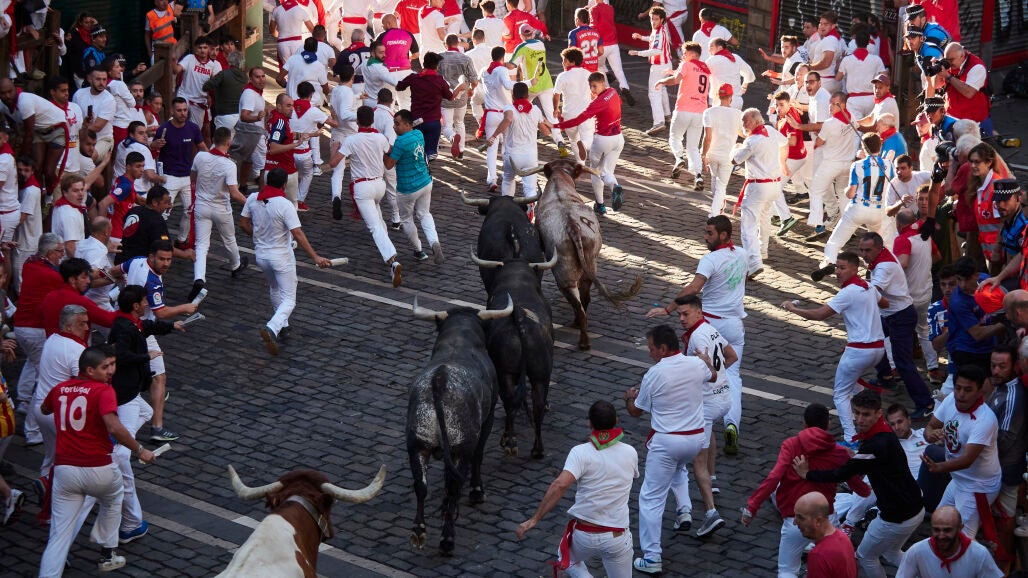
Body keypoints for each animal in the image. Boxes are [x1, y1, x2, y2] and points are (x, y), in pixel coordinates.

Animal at [407, 295, 513, 555]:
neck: (459, 340)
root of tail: (439, 381)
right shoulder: (487, 420)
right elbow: (479, 456)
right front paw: (477, 491)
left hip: (417, 444)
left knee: (421, 486)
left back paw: (419, 531)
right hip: (459, 449)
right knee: (453, 486)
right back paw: (447, 539)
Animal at [471, 250, 557, 459]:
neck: (517, 280)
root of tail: (519, 316)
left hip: (505, 373)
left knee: (509, 400)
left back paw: (509, 442)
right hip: (541, 374)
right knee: (538, 404)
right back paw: (537, 450)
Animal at [520, 159, 643, 350]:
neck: (559, 181)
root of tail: (572, 226)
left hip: (564, 275)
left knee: (578, 305)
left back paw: (582, 339)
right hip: (589, 267)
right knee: (585, 298)